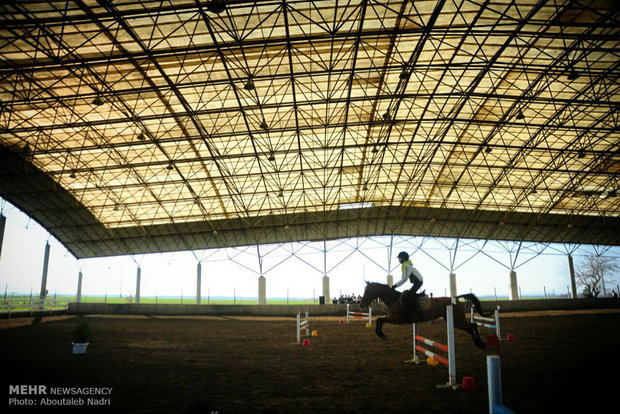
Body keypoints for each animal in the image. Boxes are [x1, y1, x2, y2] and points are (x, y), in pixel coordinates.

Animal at [358, 282, 494, 350]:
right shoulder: (394, 318)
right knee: (473, 326)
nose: (361, 304)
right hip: (454, 319)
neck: (394, 299)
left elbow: (380, 320)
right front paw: (381, 334)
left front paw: (382, 335)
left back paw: (481, 343)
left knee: (472, 326)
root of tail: (455, 298)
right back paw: (480, 344)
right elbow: (380, 320)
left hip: (457, 320)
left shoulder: (398, 319)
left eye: (368, 290)